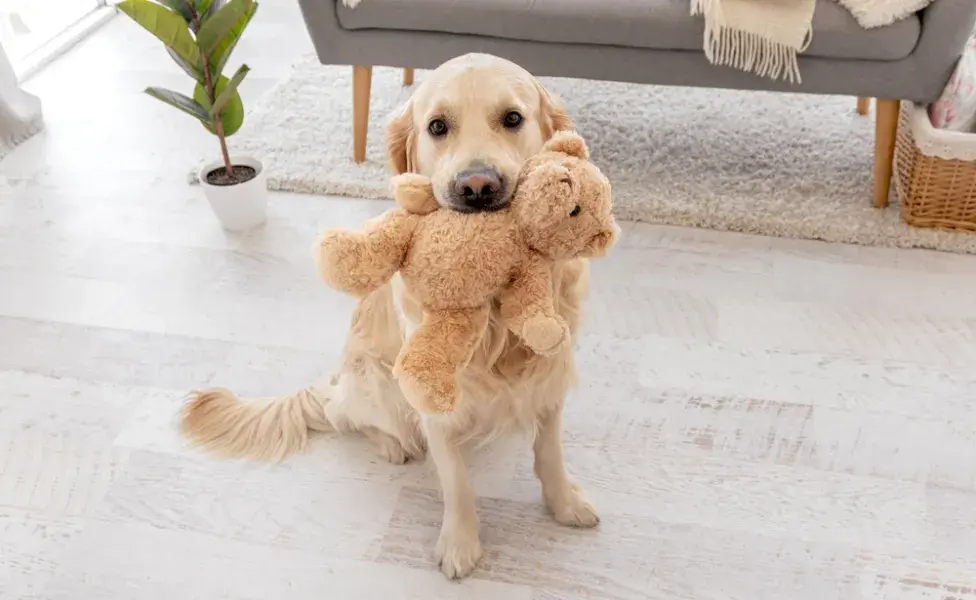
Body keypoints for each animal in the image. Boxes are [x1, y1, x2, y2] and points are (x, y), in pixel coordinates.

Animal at [179, 54, 600, 580]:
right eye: (437, 126)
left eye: (513, 118)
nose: (477, 186)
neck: (497, 314)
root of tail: (334, 379)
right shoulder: (434, 399)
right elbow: (457, 482)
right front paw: (460, 544)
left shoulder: (550, 375)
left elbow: (550, 453)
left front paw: (565, 504)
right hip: (377, 380)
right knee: (343, 416)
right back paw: (390, 444)